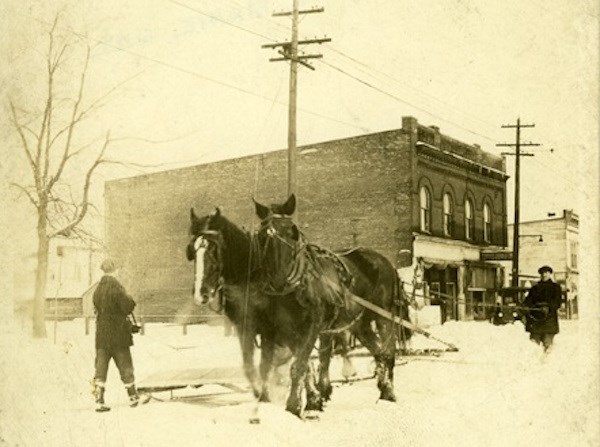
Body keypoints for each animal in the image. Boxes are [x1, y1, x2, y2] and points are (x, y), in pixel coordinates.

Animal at [253, 194, 412, 414]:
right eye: (261, 236)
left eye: (292, 232)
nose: (278, 280)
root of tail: (386, 262)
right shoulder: (282, 329)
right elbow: (295, 365)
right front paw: (312, 399)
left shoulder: (312, 326)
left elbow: (299, 365)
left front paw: (294, 406)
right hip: (359, 324)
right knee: (377, 351)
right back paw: (381, 386)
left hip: (383, 315)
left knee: (388, 353)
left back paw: (388, 392)